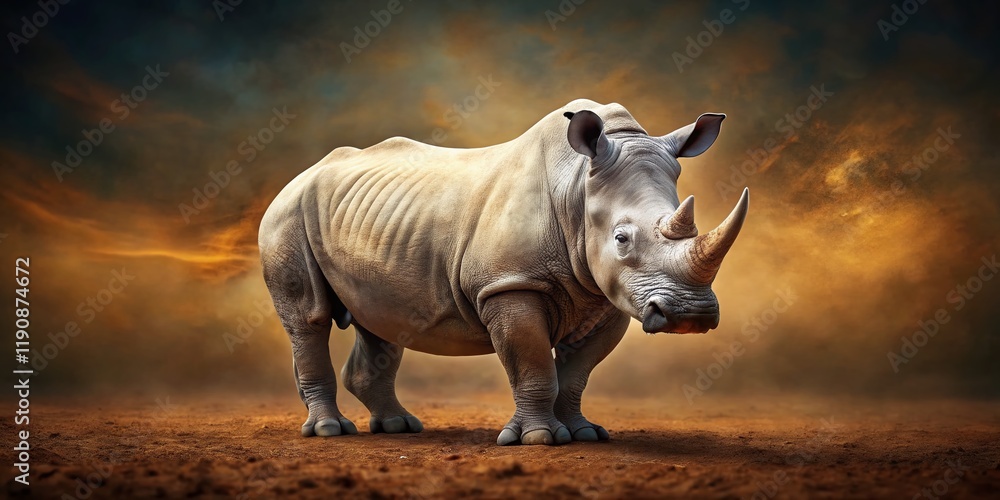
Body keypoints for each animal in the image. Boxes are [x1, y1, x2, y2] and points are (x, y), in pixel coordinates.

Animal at [259, 99, 749, 446]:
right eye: (621, 239)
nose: (691, 316)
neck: (576, 187)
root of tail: (301, 175)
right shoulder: (509, 286)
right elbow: (533, 363)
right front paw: (540, 439)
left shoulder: (607, 296)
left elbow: (577, 373)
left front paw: (585, 433)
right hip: (287, 213)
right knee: (309, 319)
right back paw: (329, 431)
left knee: (380, 322)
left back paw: (399, 427)